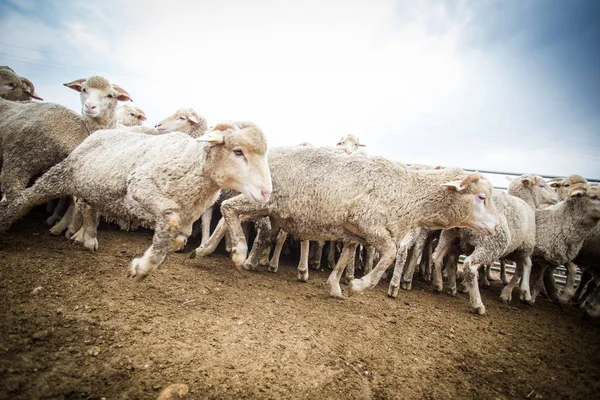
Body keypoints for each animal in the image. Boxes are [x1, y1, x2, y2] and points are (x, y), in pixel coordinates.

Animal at [0, 121, 272, 278]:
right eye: (238, 151)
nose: (267, 192)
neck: (192, 164)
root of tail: (96, 133)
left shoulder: (187, 217)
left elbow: (179, 237)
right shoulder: (140, 185)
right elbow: (169, 217)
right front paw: (143, 267)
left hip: (94, 187)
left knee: (87, 206)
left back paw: (89, 238)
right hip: (62, 174)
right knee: (27, 198)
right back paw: (6, 222)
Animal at [195, 145, 500, 298]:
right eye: (482, 196)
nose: (497, 227)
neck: (407, 192)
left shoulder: (355, 233)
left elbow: (345, 259)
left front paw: (335, 287)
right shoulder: (368, 221)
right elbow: (389, 254)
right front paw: (360, 285)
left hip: (264, 205)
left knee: (227, 216)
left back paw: (209, 249)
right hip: (264, 201)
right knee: (228, 208)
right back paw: (239, 253)